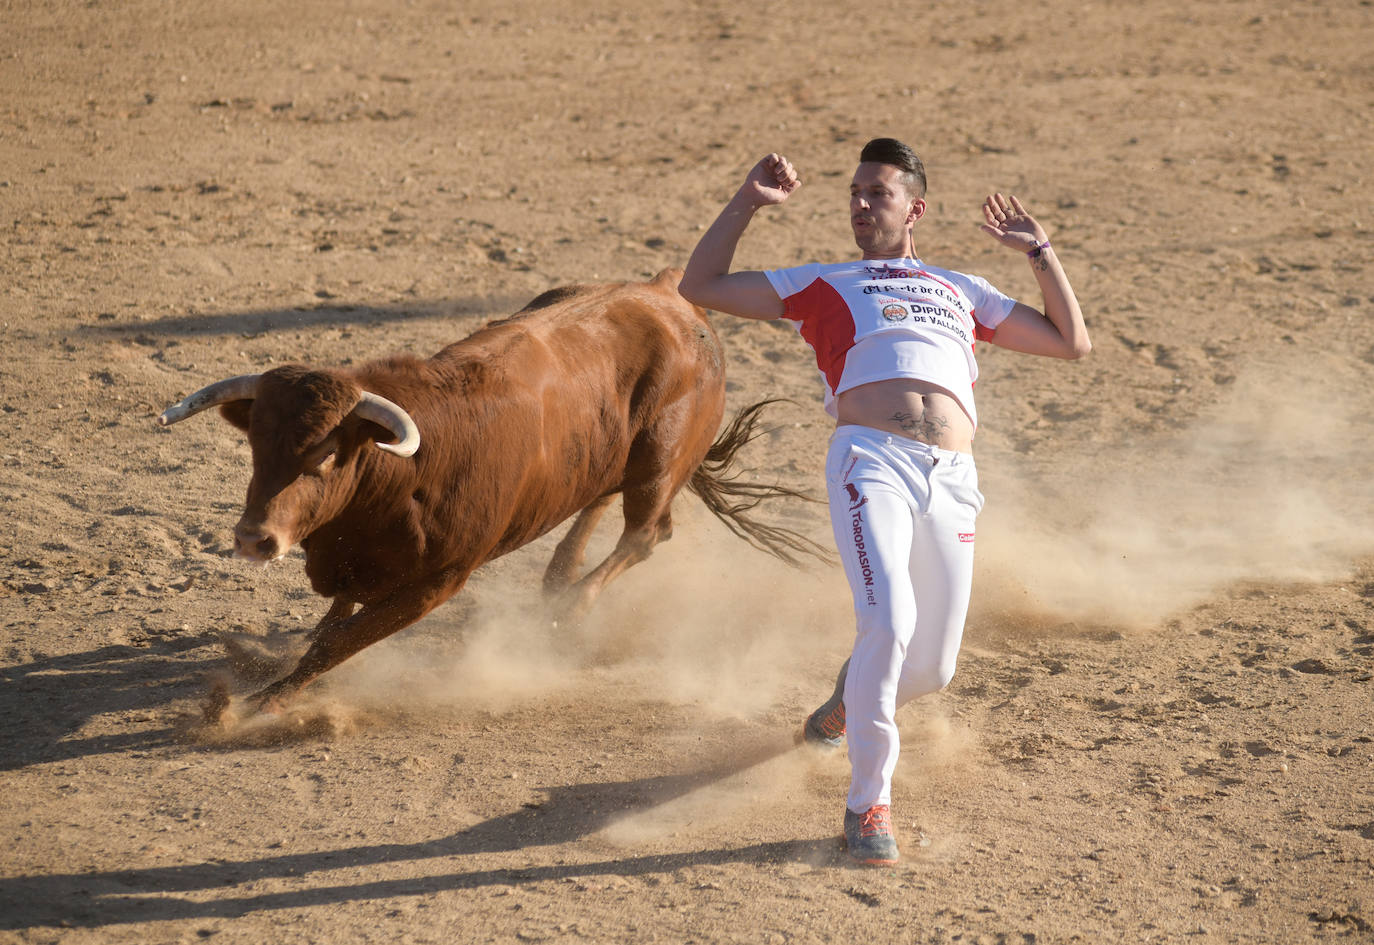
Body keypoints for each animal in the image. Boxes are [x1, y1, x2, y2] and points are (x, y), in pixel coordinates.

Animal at [155, 267, 818, 714]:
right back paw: (558, 576)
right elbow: (333, 621)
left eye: (325, 454)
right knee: (602, 499)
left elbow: (341, 642)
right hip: (612, 454)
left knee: (648, 532)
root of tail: (666, 292)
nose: (254, 539)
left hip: (659, 461)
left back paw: (571, 606)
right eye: (255, 446)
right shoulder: (354, 559)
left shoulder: (442, 581)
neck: (406, 474)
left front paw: (257, 705)